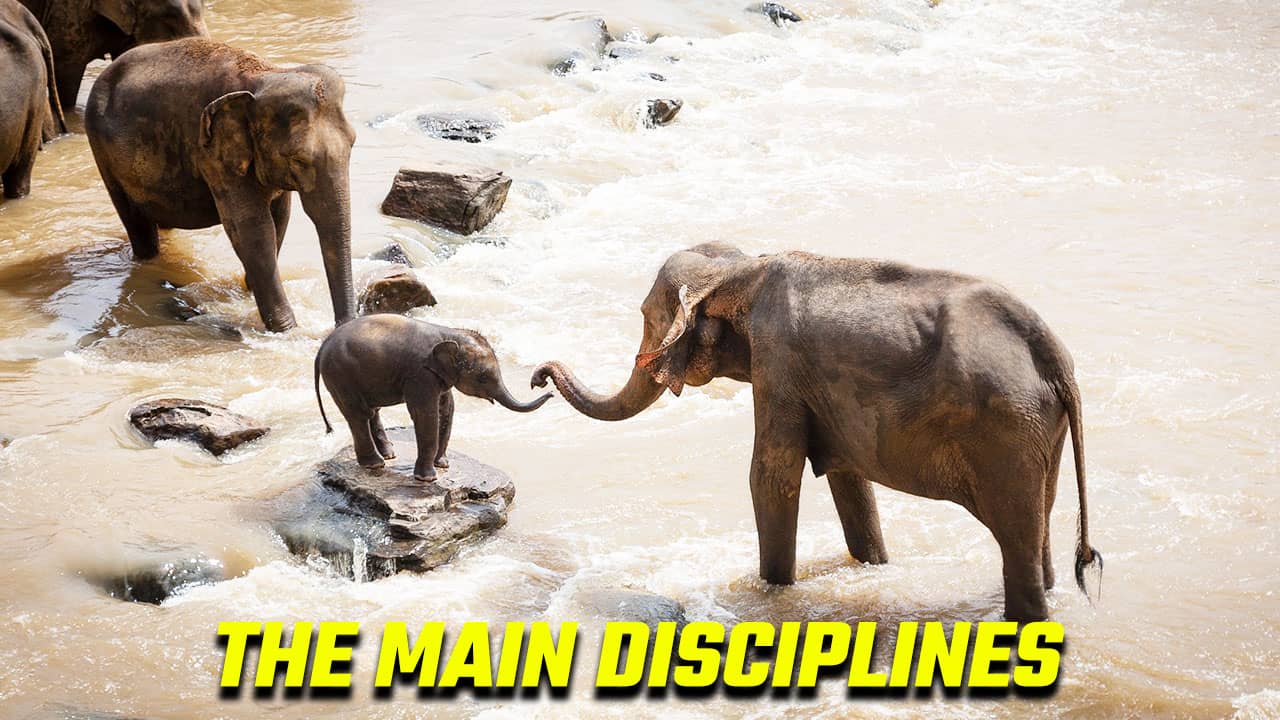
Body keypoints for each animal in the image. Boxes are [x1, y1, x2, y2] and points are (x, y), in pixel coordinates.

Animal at [84, 38, 356, 332]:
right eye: (298, 158)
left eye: (353, 143)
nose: (341, 326)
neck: (266, 75)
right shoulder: (212, 152)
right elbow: (252, 228)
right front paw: (286, 330)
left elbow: (280, 218)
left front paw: (251, 290)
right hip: (103, 153)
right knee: (136, 224)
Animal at [315, 314, 553, 481]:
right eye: (483, 377)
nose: (546, 387)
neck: (450, 333)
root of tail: (321, 348)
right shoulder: (420, 374)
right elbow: (425, 414)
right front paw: (427, 478)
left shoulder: (440, 375)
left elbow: (446, 409)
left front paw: (443, 465)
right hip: (339, 375)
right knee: (358, 414)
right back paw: (374, 464)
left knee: (371, 411)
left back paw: (388, 455)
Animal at [532, 242, 1102, 622]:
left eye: (648, 319)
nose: (538, 377)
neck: (741, 269)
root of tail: (1055, 359)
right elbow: (849, 479)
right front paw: (873, 565)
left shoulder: (778, 365)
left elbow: (771, 476)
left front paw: (771, 593)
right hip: (1037, 432)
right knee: (1039, 527)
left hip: (1008, 430)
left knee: (1017, 539)